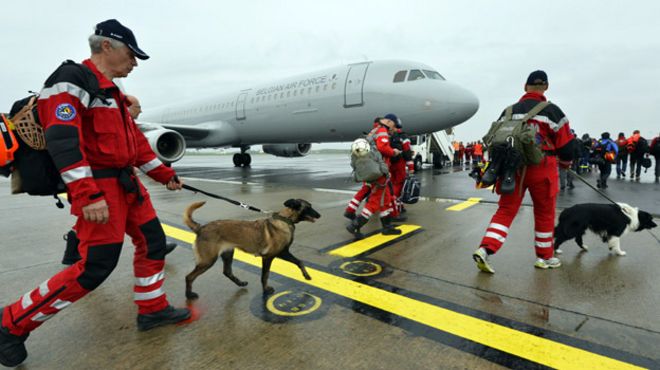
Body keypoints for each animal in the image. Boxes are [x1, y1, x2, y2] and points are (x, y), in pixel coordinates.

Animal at [184, 198, 320, 300]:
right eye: (308, 207)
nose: (320, 215)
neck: (285, 219)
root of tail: (201, 228)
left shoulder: (283, 253)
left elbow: (299, 262)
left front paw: (306, 275)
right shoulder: (270, 257)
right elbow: (265, 276)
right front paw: (266, 290)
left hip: (228, 253)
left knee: (227, 272)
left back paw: (240, 283)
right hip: (208, 261)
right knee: (189, 277)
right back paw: (189, 295)